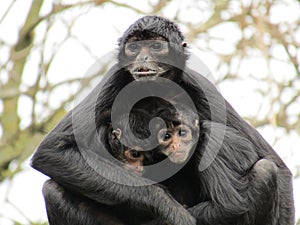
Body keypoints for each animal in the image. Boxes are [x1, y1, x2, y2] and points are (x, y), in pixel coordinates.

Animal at [31, 14, 294, 224]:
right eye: (135, 47)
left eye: (156, 46)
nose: (144, 58)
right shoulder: (114, 78)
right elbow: (51, 152)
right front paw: (171, 210)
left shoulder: (198, 84)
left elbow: (276, 165)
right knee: (52, 189)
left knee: (264, 169)